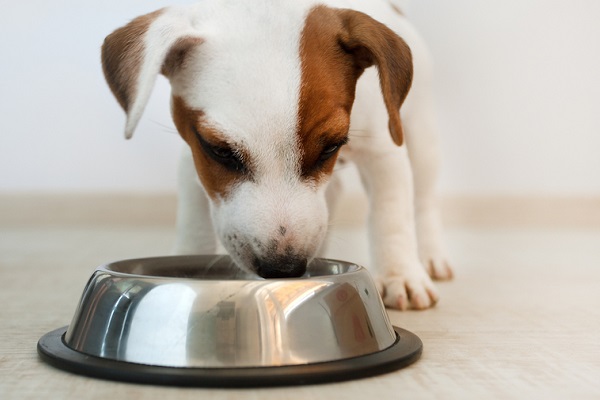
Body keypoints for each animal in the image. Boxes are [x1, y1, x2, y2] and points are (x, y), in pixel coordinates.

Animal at [101, 0, 452, 310]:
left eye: (330, 147)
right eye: (221, 151)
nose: (284, 268)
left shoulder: (383, 150)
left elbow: (391, 216)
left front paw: (400, 275)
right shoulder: (194, 158)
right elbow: (195, 222)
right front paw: (187, 256)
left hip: (421, 138)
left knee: (422, 200)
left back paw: (430, 256)